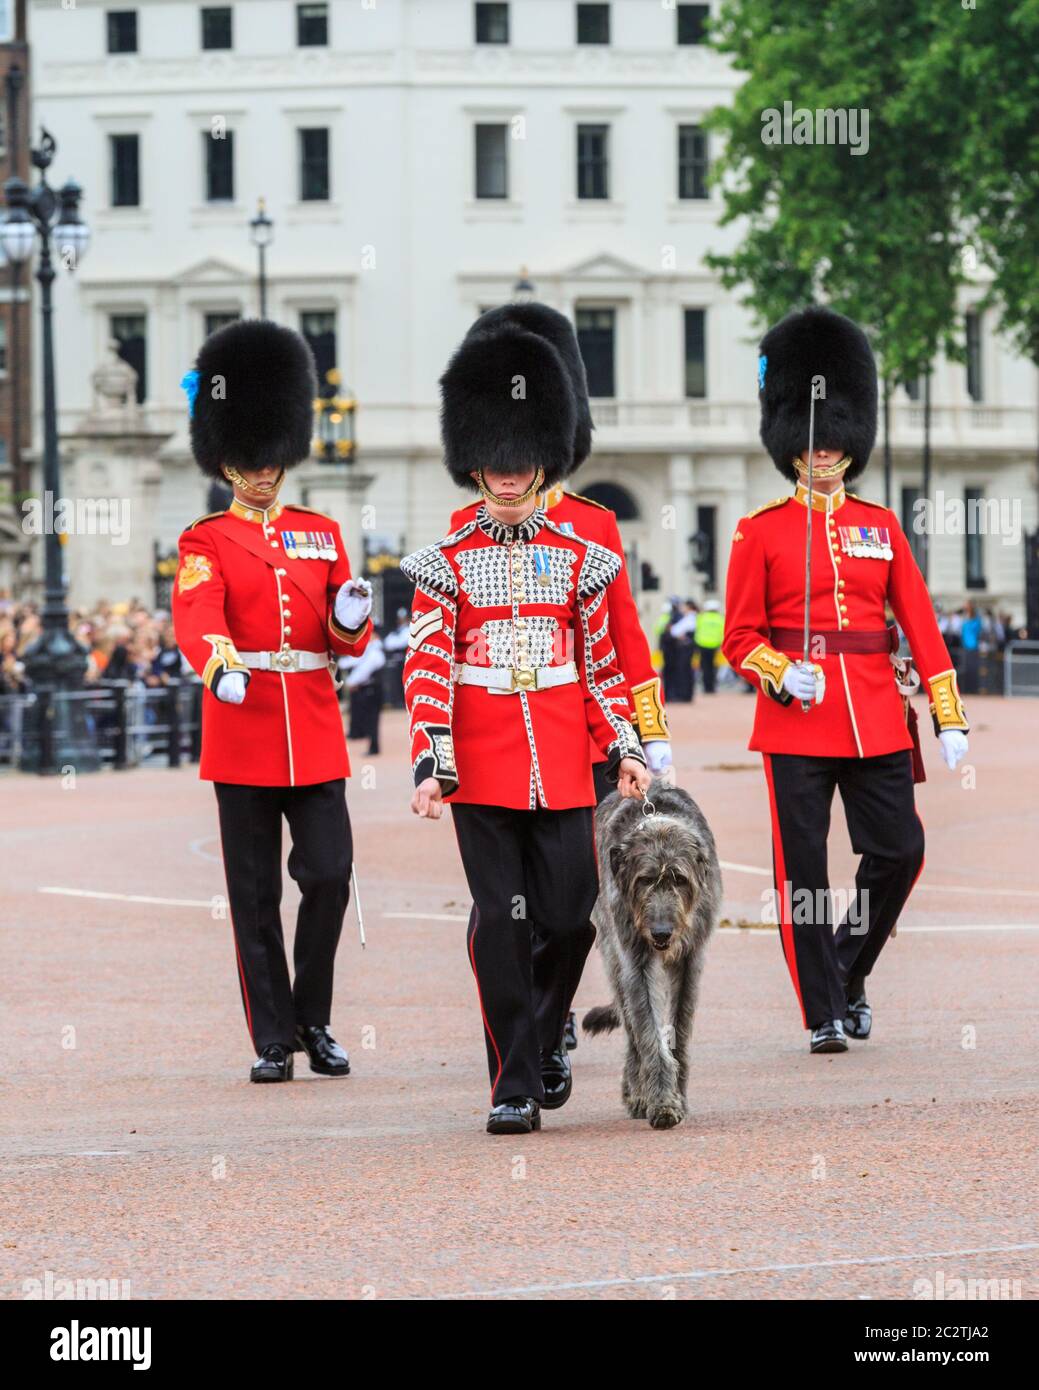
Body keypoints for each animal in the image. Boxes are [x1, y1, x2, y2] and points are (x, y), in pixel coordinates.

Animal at [584, 783, 723, 1128]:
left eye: (679, 879)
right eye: (645, 879)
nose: (661, 933)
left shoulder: (690, 959)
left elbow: (679, 1030)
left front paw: (678, 1097)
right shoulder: (635, 959)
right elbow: (647, 1031)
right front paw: (661, 1101)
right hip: (612, 951)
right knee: (632, 1028)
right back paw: (637, 1092)